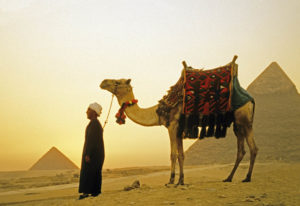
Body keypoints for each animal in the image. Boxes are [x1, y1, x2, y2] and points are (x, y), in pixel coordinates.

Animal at [100, 56, 258, 185]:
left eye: (117, 82)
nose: (103, 82)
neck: (159, 110)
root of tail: (250, 98)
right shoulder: (179, 130)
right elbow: (181, 155)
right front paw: (181, 181)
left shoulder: (172, 126)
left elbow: (173, 154)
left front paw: (170, 181)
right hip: (238, 123)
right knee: (241, 150)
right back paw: (229, 178)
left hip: (244, 118)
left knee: (253, 148)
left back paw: (247, 177)